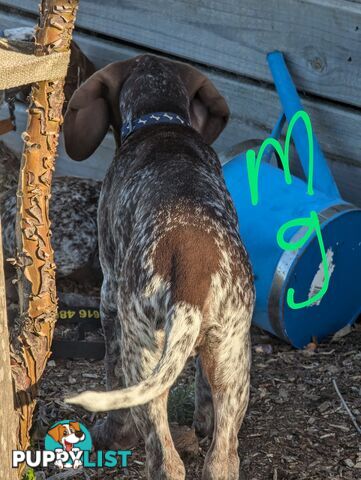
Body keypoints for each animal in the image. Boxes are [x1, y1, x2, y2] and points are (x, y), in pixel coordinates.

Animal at [65, 55, 256, 480]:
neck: (159, 119)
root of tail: (192, 277)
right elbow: (203, 392)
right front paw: (202, 422)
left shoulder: (109, 297)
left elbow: (111, 372)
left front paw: (112, 435)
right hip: (234, 360)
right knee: (222, 459)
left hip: (144, 357)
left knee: (165, 459)